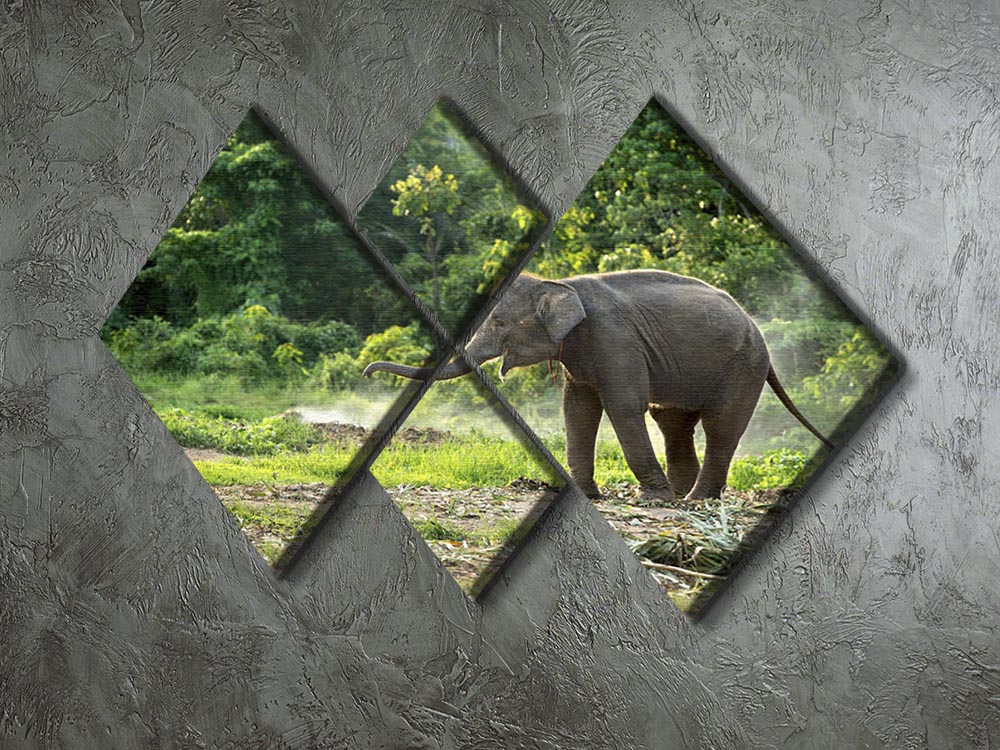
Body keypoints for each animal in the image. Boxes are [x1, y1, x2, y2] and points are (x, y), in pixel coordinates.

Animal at [364, 269, 832, 502]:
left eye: (497, 323)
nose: (368, 372)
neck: (559, 283)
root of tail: (757, 329)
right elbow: (578, 411)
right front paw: (591, 496)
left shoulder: (613, 339)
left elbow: (623, 406)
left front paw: (652, 500)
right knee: (672, 421)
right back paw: (682, 494)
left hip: (744, 366)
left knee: (721, 426)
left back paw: (694, 500)